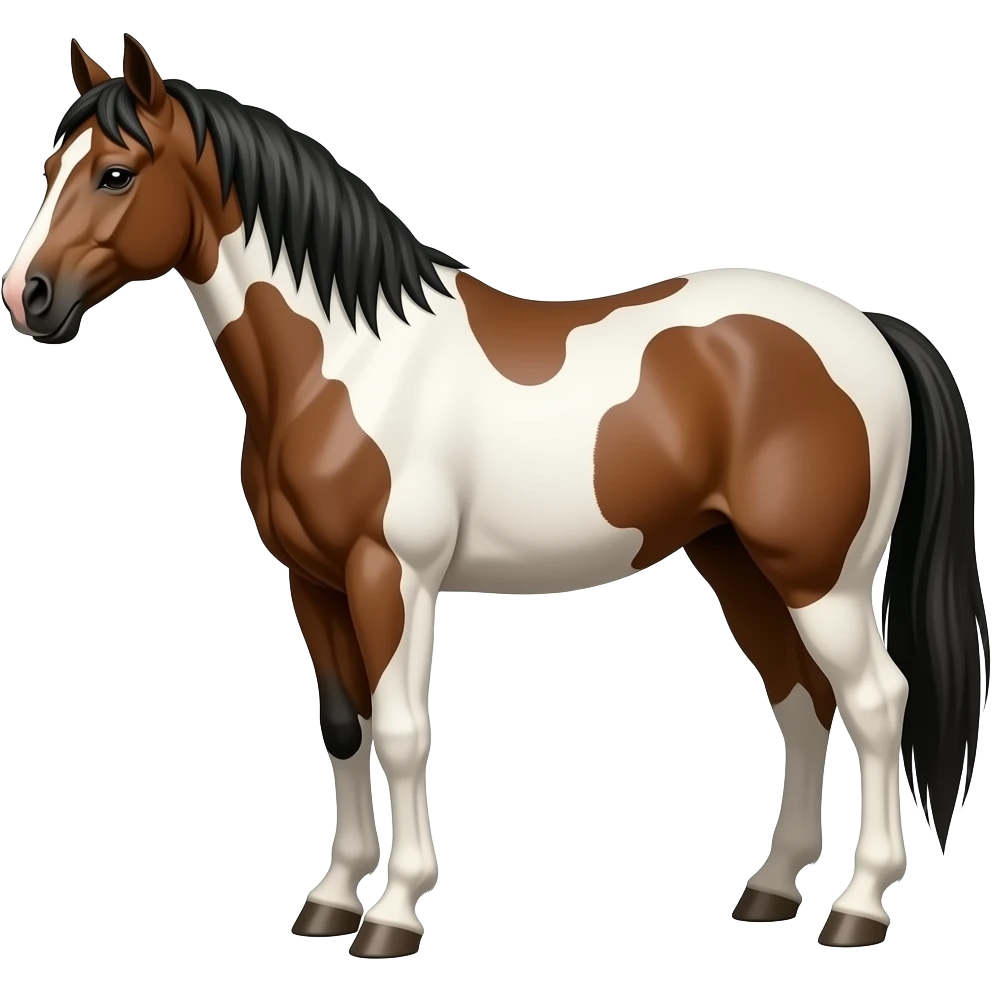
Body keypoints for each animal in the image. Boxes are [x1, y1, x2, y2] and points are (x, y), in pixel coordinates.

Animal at [3, 34, 987, 956]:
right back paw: (773, 890)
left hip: (821, 577)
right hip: (737, 562)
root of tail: (870, 328)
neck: (344, 362)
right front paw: (331, 900)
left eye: (116, 173)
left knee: (877, 703)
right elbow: (345, 728)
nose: (27, 296)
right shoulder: (312, 583)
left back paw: (858, 907)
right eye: (52, 170)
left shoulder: (391, 577)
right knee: (801, 702)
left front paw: (394, 915)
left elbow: (403, 732)